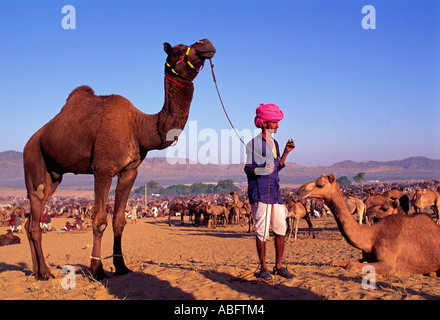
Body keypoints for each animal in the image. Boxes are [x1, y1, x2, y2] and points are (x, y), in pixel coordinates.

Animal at [23, 39, 216, 280]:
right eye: (180, 49)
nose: (206, 43)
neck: (139, 127)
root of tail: (28, 143)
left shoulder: (129, 171)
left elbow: (119, 220)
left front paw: (122, 266)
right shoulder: (103, 168)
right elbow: (99, 221)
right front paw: (97, 270)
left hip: (54, 176)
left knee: (30, 221)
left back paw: (37, 271)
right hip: (34, 161)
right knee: (35, 214)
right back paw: (46, 272)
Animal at [298, 174, 440, 276]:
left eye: (321, 184)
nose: (300, 189)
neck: (372, 237)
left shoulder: (389, 264)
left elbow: (351, 265)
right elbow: (336, 261)